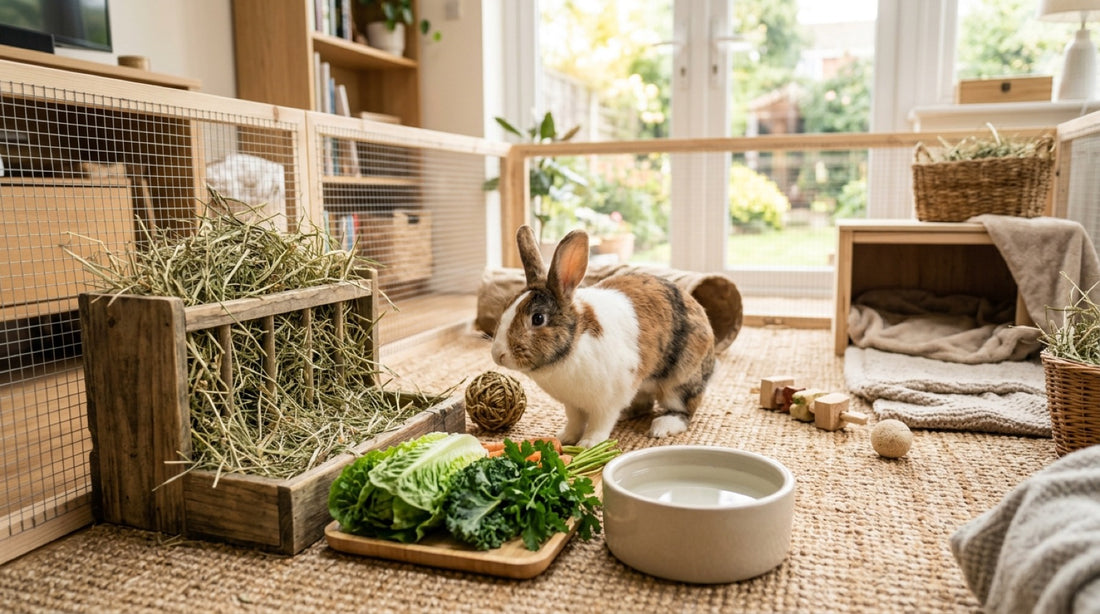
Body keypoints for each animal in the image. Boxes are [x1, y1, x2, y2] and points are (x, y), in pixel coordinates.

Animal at [491, 225, 716, 448]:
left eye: (538, 318)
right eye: (506, 307)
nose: (498, 355)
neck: (574, 343)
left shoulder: (608, 402)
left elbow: (600, 423)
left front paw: (588, 444)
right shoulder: (572, 404)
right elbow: (575, 421)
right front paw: (564, 438)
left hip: (681, 381)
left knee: (683, 410)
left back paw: (662, 427)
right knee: (644, 404)